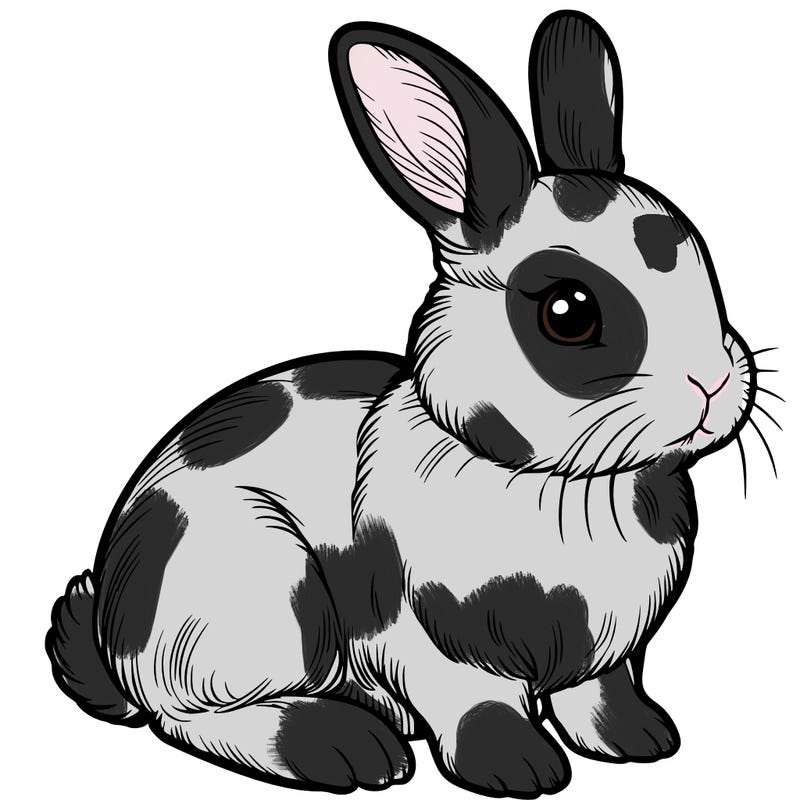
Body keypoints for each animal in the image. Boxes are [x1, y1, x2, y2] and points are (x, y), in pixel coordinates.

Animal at [46, 11, 758, 798]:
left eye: (702, 258)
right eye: (569, 313)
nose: (712, 384)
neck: (563, 484)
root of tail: (114, 635)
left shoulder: (609, 653)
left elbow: (600, 691)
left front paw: (641, 741)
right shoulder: (430, 648)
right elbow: (476, 708)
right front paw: (519, 769)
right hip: (261, 595)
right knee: (190, 717)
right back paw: (344, 747)